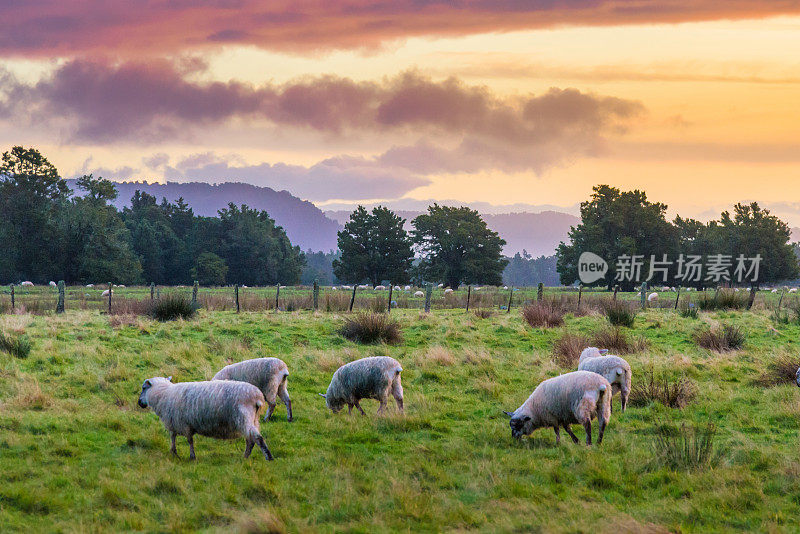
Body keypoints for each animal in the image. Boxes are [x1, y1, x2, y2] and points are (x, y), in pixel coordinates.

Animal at [138, 378, 276, 462]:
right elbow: (174, 437)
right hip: (253, 419)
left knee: (255, 438)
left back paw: (266, 457)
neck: (163, 393)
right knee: (251, 439)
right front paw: (174, 452)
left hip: (243, 417)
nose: (139, 403)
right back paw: (246, 457)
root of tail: (257, 397)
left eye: (144, 388)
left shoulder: (182, 424)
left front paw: (190, 456)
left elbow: (188, 440)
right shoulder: (175, 424)